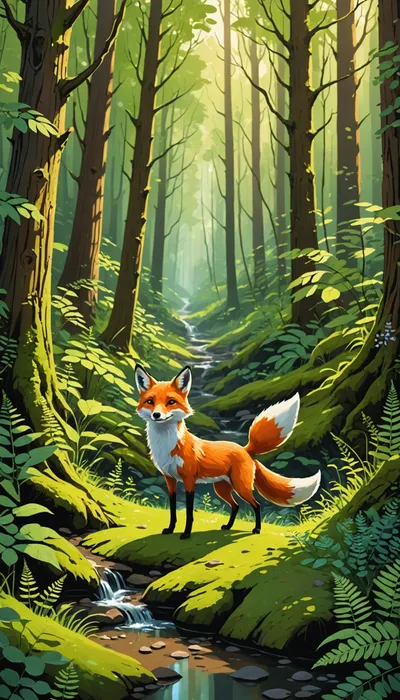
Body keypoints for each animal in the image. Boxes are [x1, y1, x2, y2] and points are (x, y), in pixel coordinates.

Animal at [135, 364, 321, 539]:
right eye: (150, 401)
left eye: (171, 402)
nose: (156, 415)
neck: (166, 445)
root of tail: (245, 449)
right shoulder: (170, 479)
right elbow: (173, 510)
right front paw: (170, 529)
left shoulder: (189, 480)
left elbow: (189, 513)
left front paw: (186, 534)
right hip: (221, 488)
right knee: (236, 505)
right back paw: (228, 526)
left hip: (240, 486)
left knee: (256, 504)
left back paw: (256, 529)